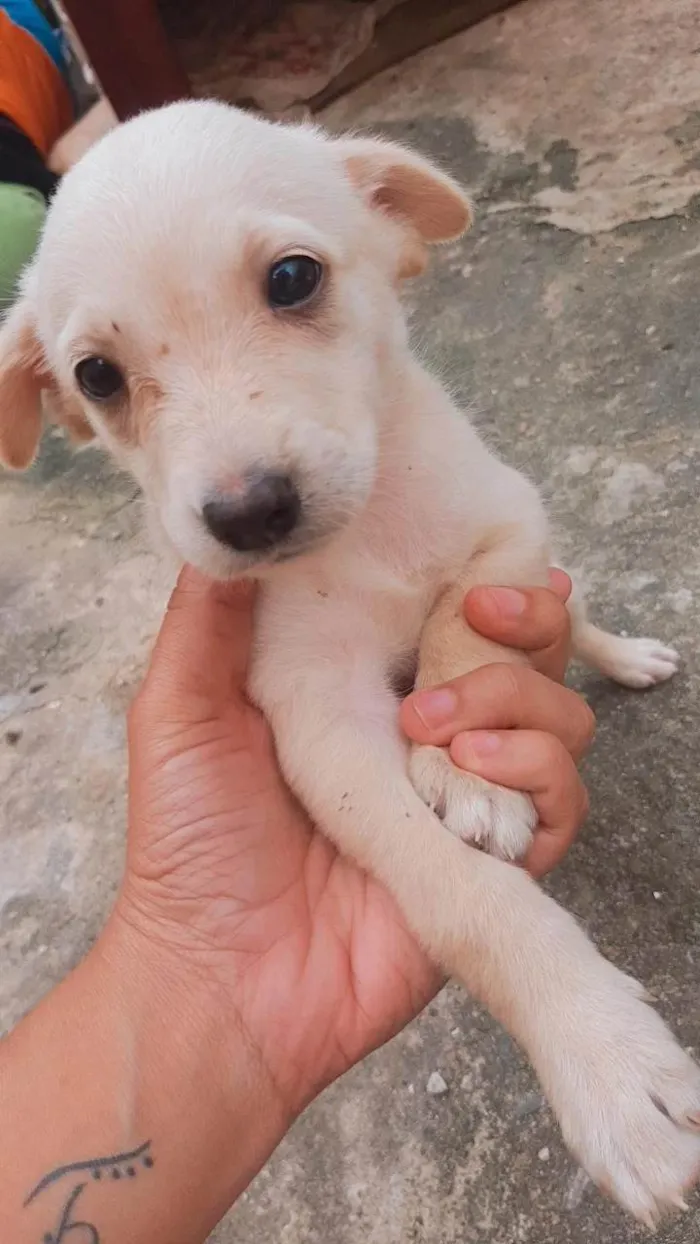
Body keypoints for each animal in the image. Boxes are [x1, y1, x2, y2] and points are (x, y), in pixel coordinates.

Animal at [1, 99, 700, 1224]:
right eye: (97, 377)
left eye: (293, 279)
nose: (247, 512)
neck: (365, 537)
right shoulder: (315, 716)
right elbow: (462, 893)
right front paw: (603, 1063)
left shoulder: (506, 528)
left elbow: (464, 624)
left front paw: (464, 762)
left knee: (578, 605)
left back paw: (627, 655)